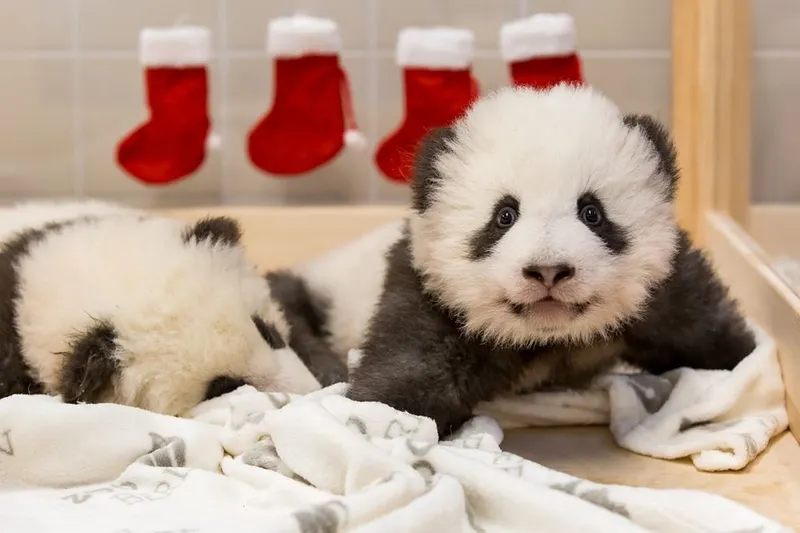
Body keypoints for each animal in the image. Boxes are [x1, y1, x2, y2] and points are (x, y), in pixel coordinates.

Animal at [267, 84, 757, 437]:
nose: (548, 271)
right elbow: (411, 367)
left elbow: (705, 328)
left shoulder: (660, 291)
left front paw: (742, 360)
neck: (548, 338)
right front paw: (373, 422)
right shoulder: (430, 289)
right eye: (504, 216)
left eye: (592, 212)